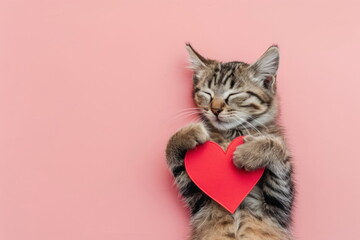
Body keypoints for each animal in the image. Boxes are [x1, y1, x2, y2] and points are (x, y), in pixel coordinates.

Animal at [166, 43, 296, 240]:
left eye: (234, 95)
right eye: (207, 94)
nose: (215, 110)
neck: (231, 134)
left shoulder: (279, 205)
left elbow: (277, 149)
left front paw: (248, 153)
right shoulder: (198, 200)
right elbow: (170, 149)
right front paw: (190, 132)